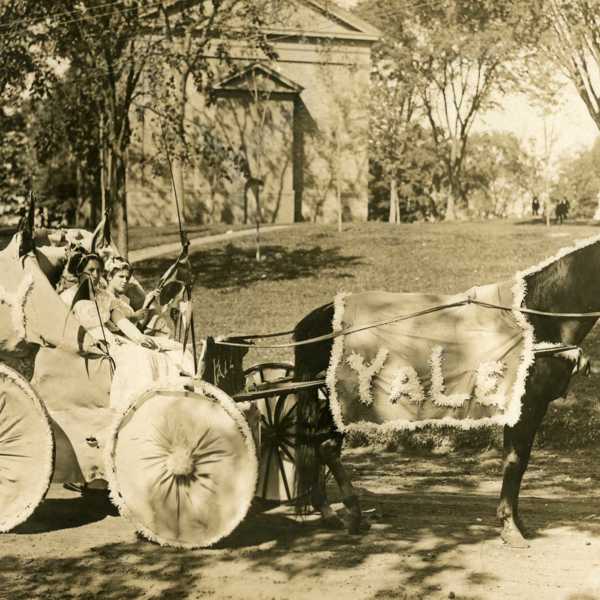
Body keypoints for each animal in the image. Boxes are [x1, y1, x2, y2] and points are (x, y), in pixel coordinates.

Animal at [292, 234, 600, 548]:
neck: (535, 319)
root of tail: (317, 319)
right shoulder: (526, 405)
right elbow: (516, 460)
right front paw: (510, 526)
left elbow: (517, 460)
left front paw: (516, 522)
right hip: (341, 402)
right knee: (327, 448)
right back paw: (352, 513)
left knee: (317, 446)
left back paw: (328, 511)